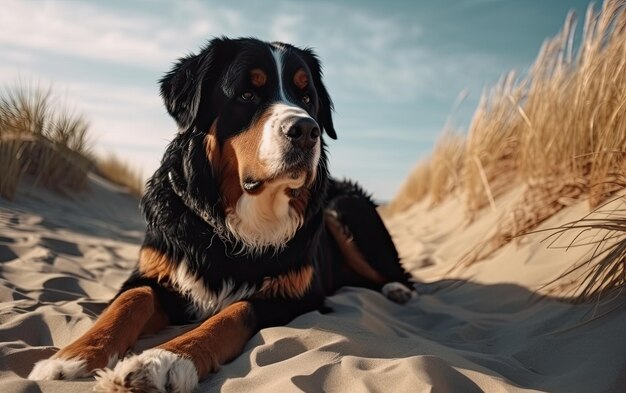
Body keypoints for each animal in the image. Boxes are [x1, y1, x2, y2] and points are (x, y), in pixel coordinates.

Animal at [26, 37, 412, 392]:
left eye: (307, 99)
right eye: (247, 95)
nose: (306, 131)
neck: (244, 219)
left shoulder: (296, 293)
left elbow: (231, 314)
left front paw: (163, 361)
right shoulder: (153, 272)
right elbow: (129, 302)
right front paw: (72, 357)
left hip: (344, 207)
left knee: (397, 273)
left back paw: (398, 290)